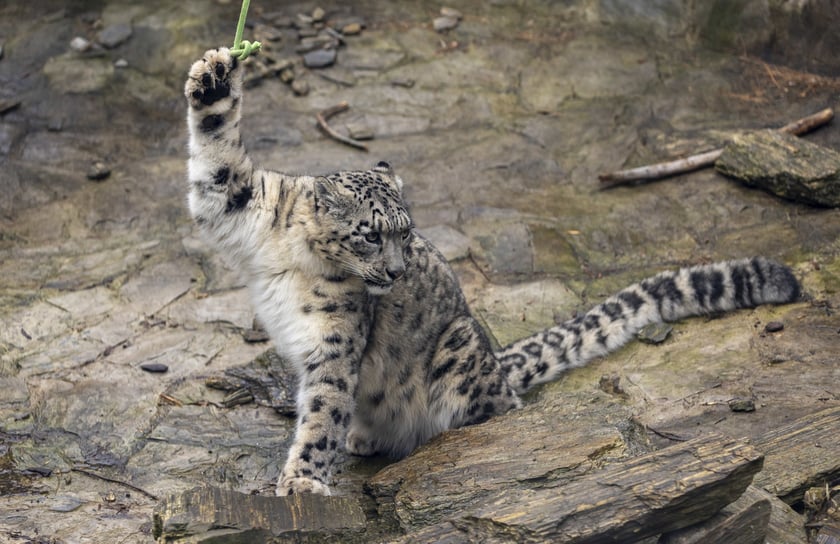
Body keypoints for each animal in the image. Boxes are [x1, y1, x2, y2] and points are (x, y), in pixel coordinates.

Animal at [184, 49, 800, 496]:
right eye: (371, 234)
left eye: (406, 233)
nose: (396, 270)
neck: (297, 256)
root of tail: (496, 365)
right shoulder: (239, 203)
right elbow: (217, 167)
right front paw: (213, 78)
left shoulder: (335, 342)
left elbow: (323, 411)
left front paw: (303, 480)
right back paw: (364, 438)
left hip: (456, 358)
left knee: (496, 409)